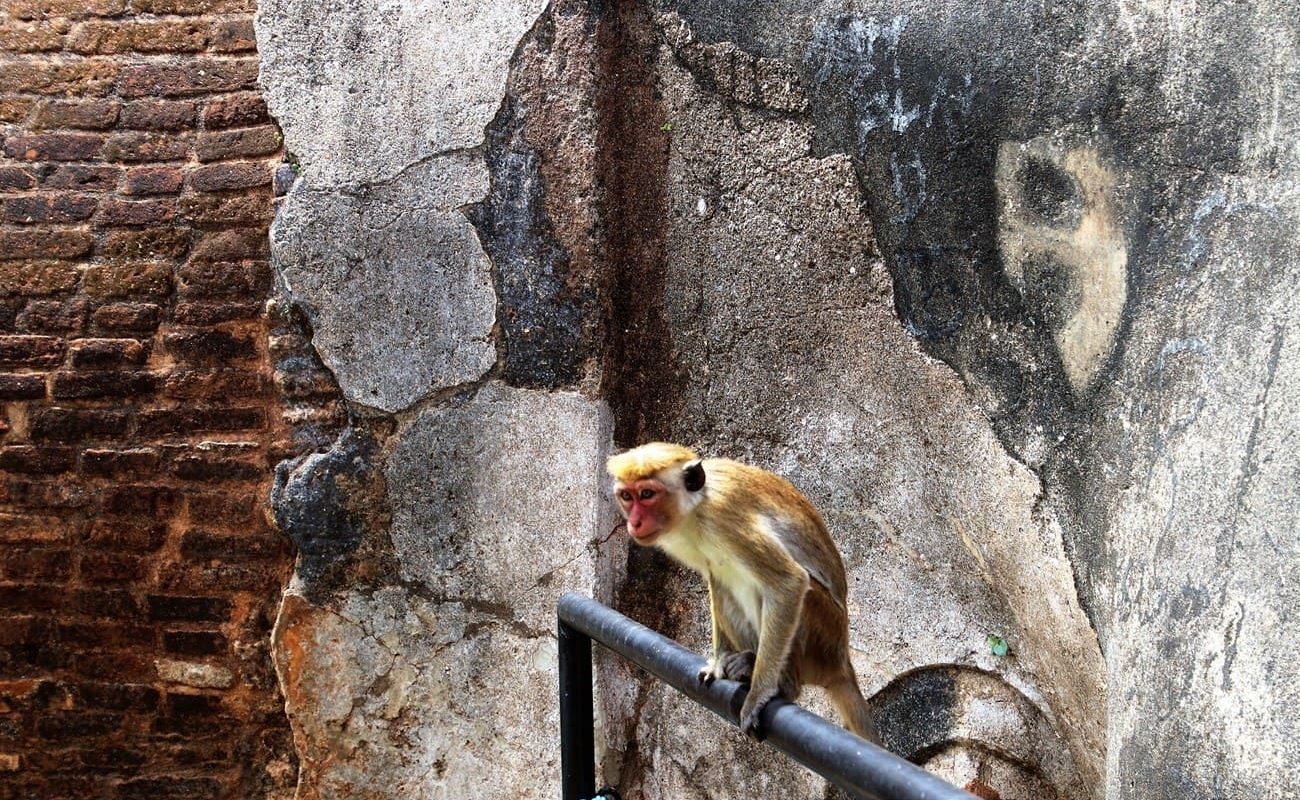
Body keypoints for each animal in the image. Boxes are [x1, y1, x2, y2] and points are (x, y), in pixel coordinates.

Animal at [606, 442, 880, 744]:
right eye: (626, 496)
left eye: (647, 494)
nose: (634, 522)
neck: (696, 507)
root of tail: (842, 660)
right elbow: (716, 579)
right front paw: (717, 662)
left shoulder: (723, 518)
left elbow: (790, 581)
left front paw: (758, 695)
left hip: (823, 638)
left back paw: (784, 683)